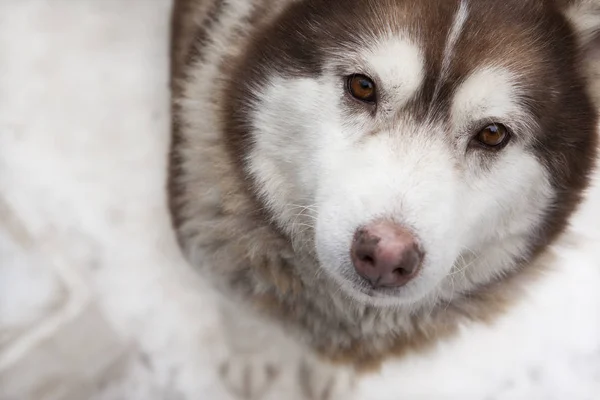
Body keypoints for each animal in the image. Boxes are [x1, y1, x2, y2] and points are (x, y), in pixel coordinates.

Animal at [168, 0, 600, 396]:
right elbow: (240, 306)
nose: (387, 253)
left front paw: (332, 371)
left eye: (493, 133)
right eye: (362, 86)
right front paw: (252, 358)